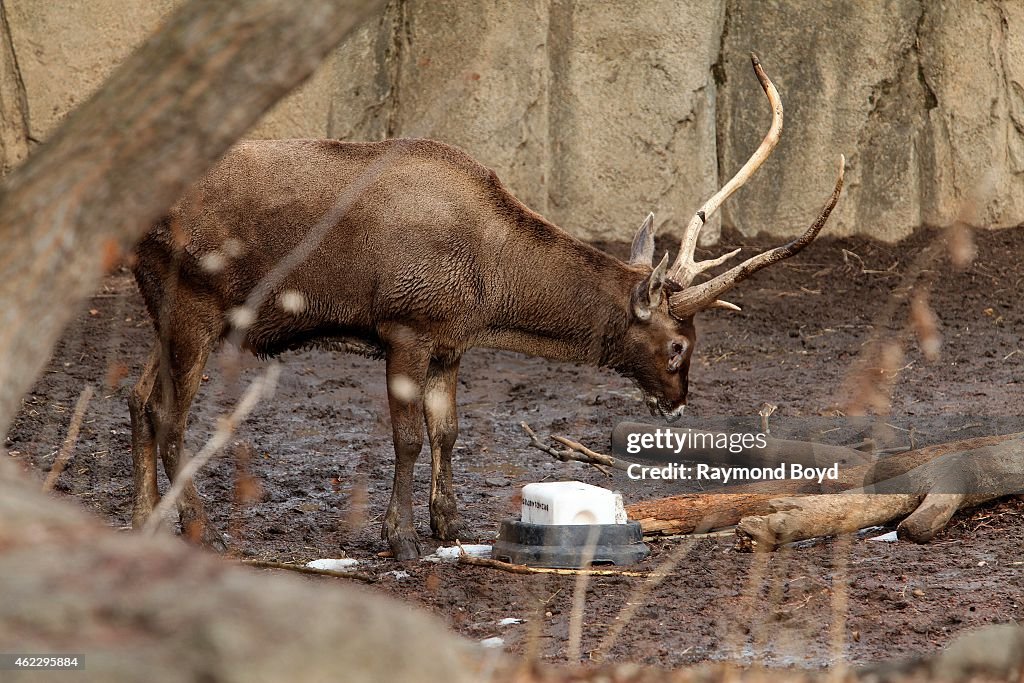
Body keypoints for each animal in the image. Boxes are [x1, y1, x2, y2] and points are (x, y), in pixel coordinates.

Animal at [128, 56, 843, 561]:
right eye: (677, 344)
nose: (676, 403)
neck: (488, 291)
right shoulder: (405, 326)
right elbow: (408, 438)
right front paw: (400, 538)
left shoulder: (449, 343)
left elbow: (448, 431)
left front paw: (448, 526)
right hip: (193, 304)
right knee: (170, 415)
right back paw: (197, 525)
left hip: (162, 307)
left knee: (138, 399)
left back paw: (141, 520)